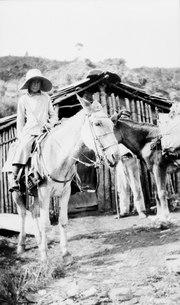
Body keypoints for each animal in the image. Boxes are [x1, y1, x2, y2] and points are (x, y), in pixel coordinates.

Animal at [9, 97, 119, 262]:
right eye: (97, 124)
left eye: (112, 125)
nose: (115, 156)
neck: (57, 155)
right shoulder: (44, 193)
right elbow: (46, 224)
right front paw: (45, 257)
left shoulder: (64, 192)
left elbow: (63, 220)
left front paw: (65, 253)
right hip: (18, 193)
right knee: (22, 213)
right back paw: (21, 246)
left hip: (34, 193)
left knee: (33, 213)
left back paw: (39, 241)